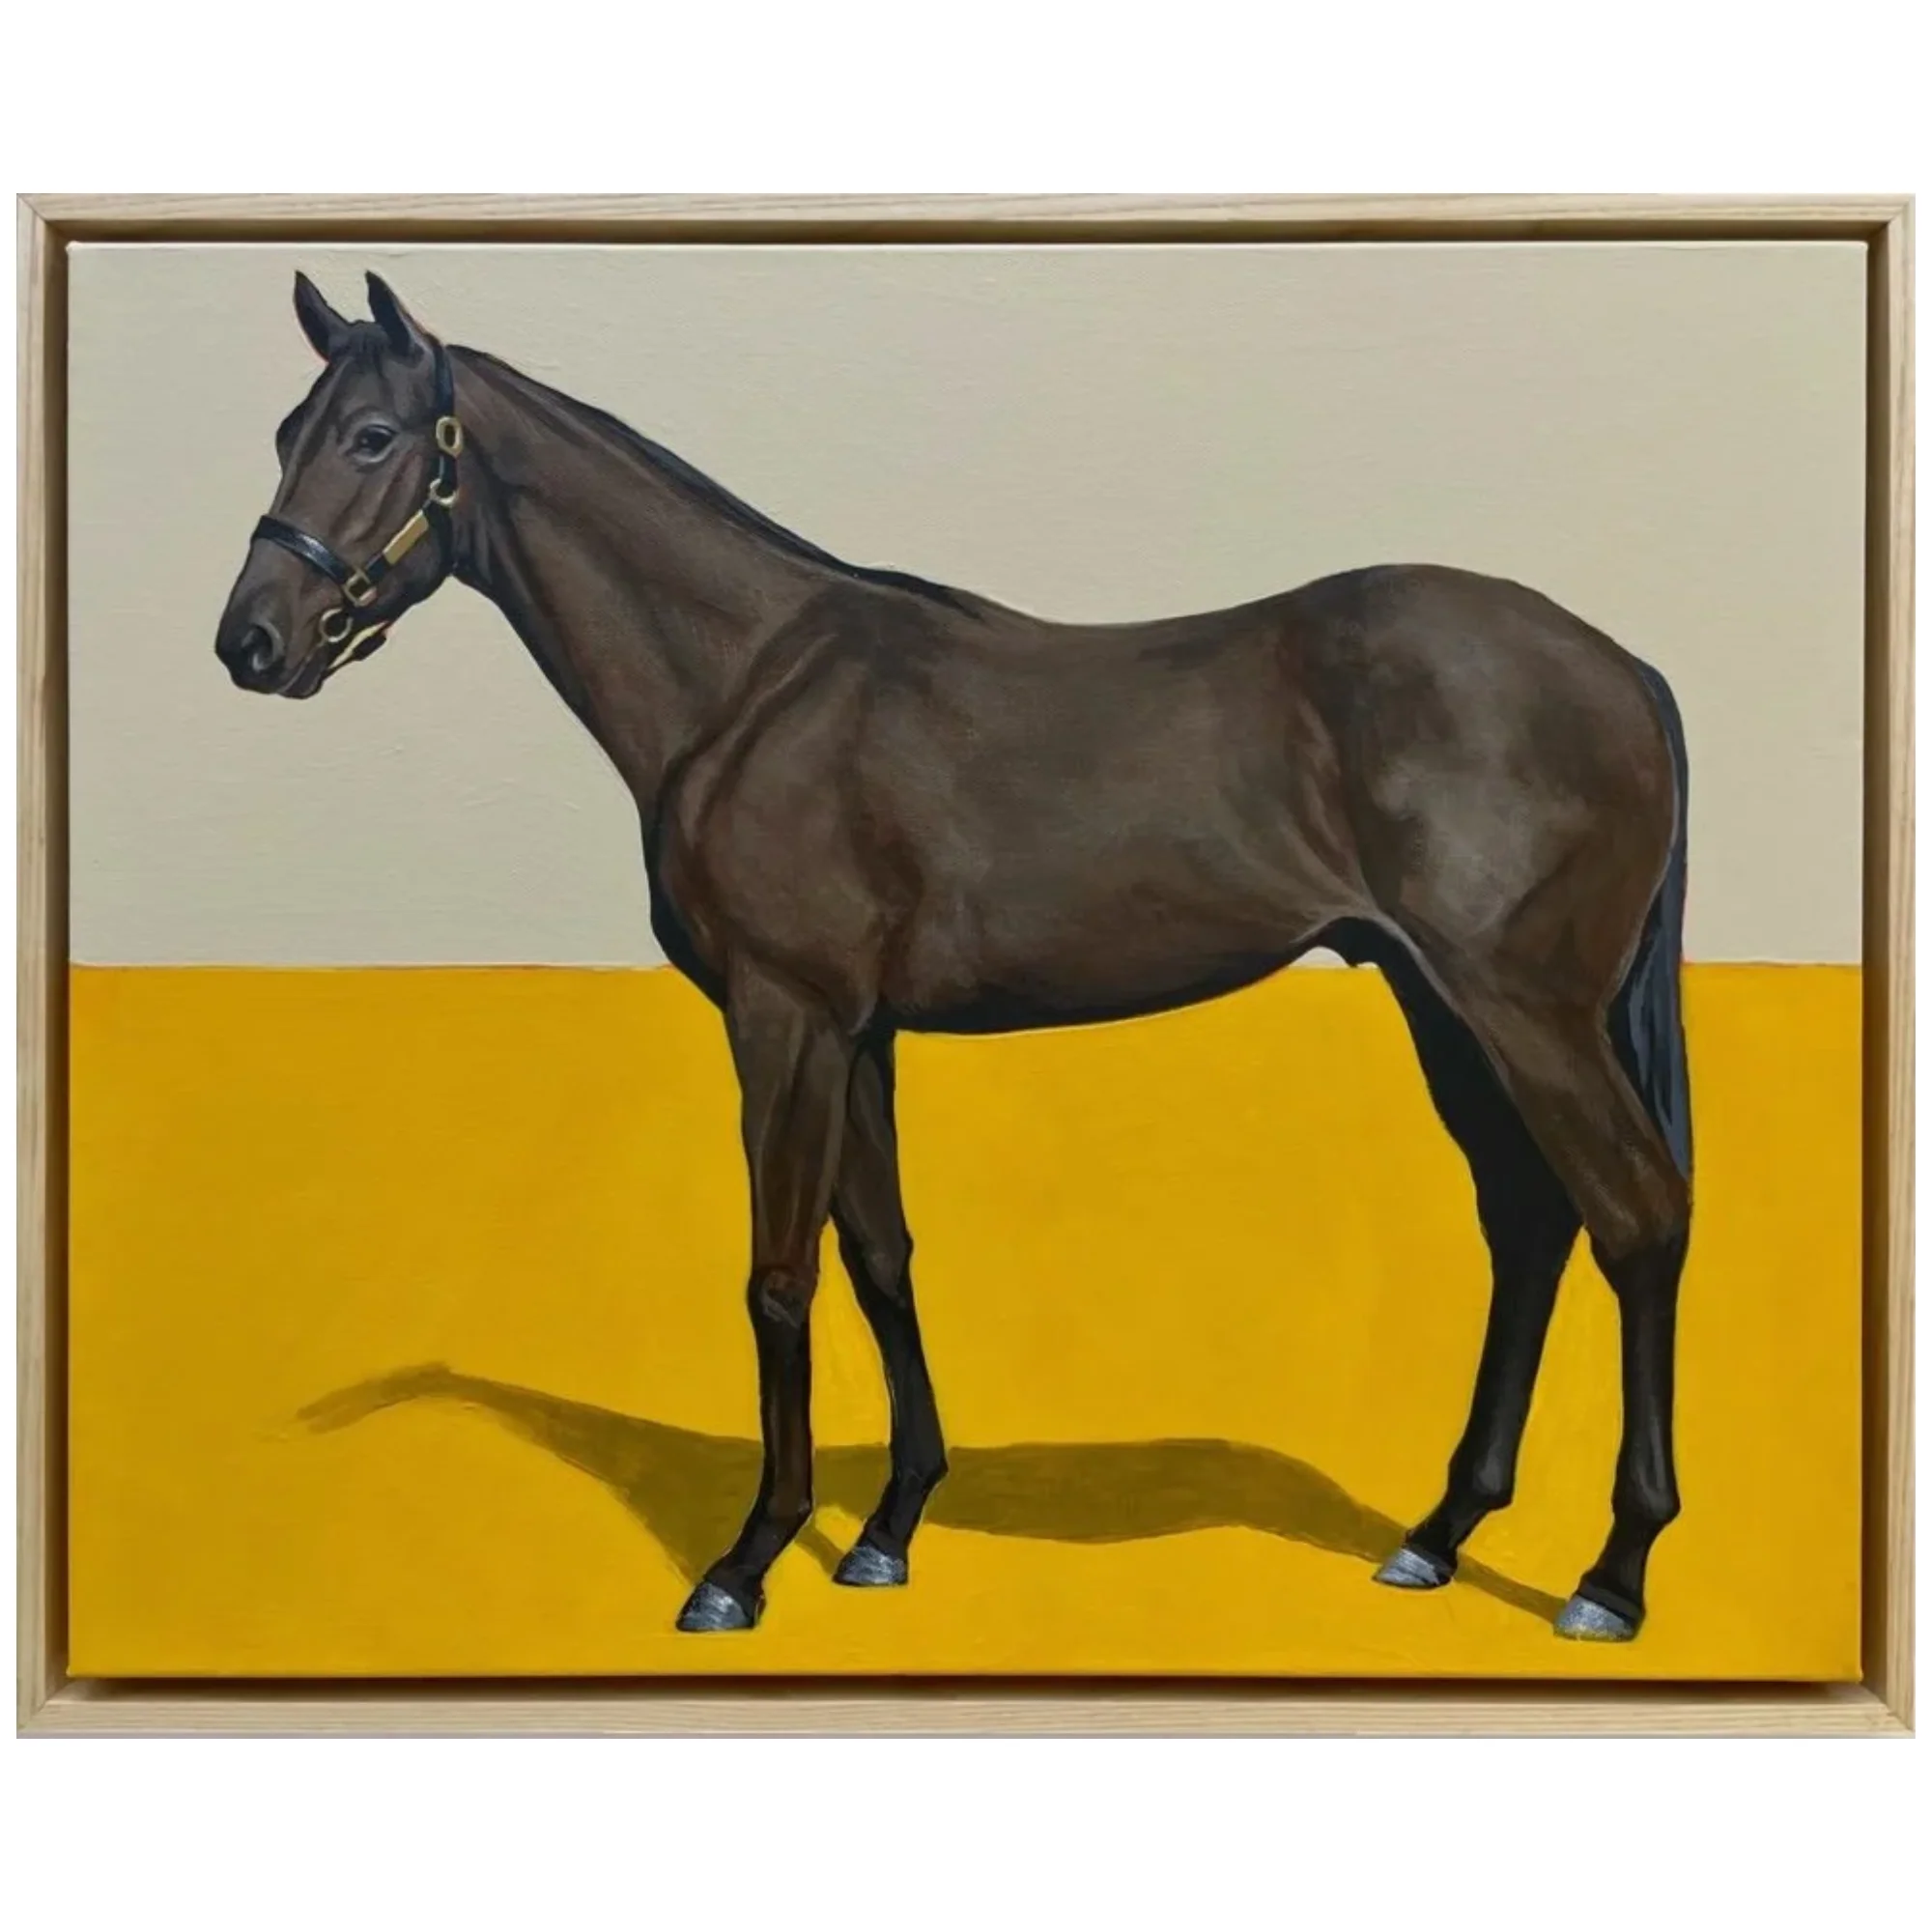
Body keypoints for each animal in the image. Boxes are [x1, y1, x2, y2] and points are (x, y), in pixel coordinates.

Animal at [215, 272, 1692, 1642]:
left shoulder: (785, 1018)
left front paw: (747, 1560)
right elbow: (880, 1255)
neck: (749, 684)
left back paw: (1610, 1576)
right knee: (1530, 1219)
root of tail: (1627, 670)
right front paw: (887, 1527)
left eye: (369, 435)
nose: (250, 642)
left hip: (1524, 1010)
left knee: (1636, 1217)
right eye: (286, 428)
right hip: (1441, 1003)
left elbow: (780, 1275)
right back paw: (1437, 1535)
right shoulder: (859, 1032)